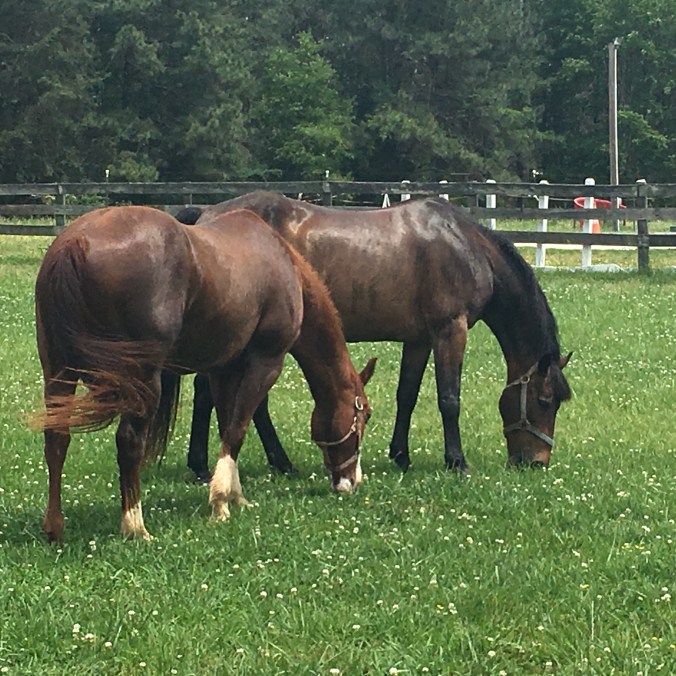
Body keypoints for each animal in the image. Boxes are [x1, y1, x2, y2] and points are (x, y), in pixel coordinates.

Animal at [34, 205, 375, 543]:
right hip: (142, 380)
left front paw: (235, 496)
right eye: (365, 414)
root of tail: (76, 242)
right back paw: (136, 526)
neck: (281, 263)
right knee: (128, 441)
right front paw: (220, 503)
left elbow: (227, 427)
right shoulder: (266, 363)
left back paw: (54, 528)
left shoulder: (223, 370)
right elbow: (237, 429)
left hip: (58, 371)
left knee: (56, 437)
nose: (351, 481)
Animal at [176, 192, 571, 481]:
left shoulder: (419, 339)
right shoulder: (450, 330)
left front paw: (401, 455)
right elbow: (449, 399)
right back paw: (221, 466)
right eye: (544, 400)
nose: (537, 462)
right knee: (222, 395)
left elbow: (407, 395)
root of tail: (209, 213)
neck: (463, 245)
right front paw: (456, 461)